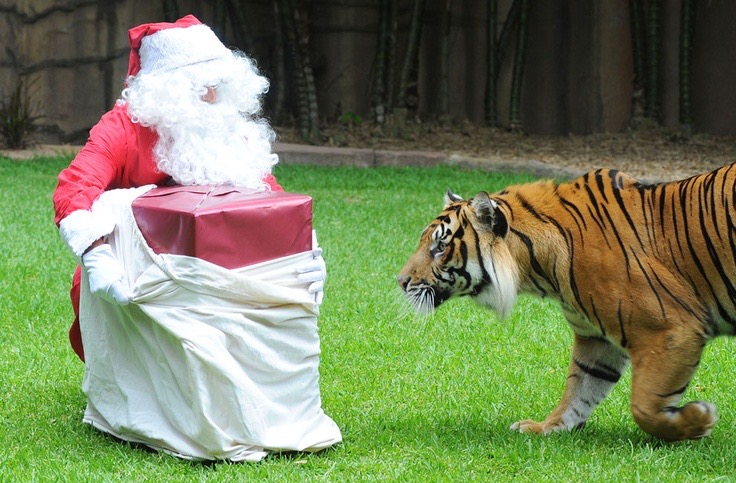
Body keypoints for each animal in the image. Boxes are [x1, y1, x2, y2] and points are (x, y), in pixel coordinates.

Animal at [397, 164, 736, 441]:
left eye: (440, 247)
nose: (400, 281)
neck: (539, 266)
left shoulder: (669, 330)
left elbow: (645, 407)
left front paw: (699, 421)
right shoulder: (596, 339)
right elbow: (580, 388)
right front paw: (546, 427)